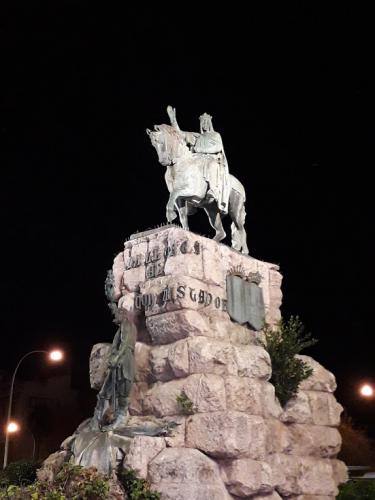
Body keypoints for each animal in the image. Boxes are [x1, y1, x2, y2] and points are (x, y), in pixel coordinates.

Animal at [147, 121, 250, 254]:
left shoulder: (193, 193)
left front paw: (170, 215)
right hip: (211, 210)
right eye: (153, 143)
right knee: (221, 232)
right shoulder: (180, 200)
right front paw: (185, 229)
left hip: (234, 210)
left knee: (240, 228)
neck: (181, 164)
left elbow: (174, 193)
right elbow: (182, 214)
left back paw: (244, 252)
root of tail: (241, 186)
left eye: (160, 140)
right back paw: (212, 243)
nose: (164, 161)